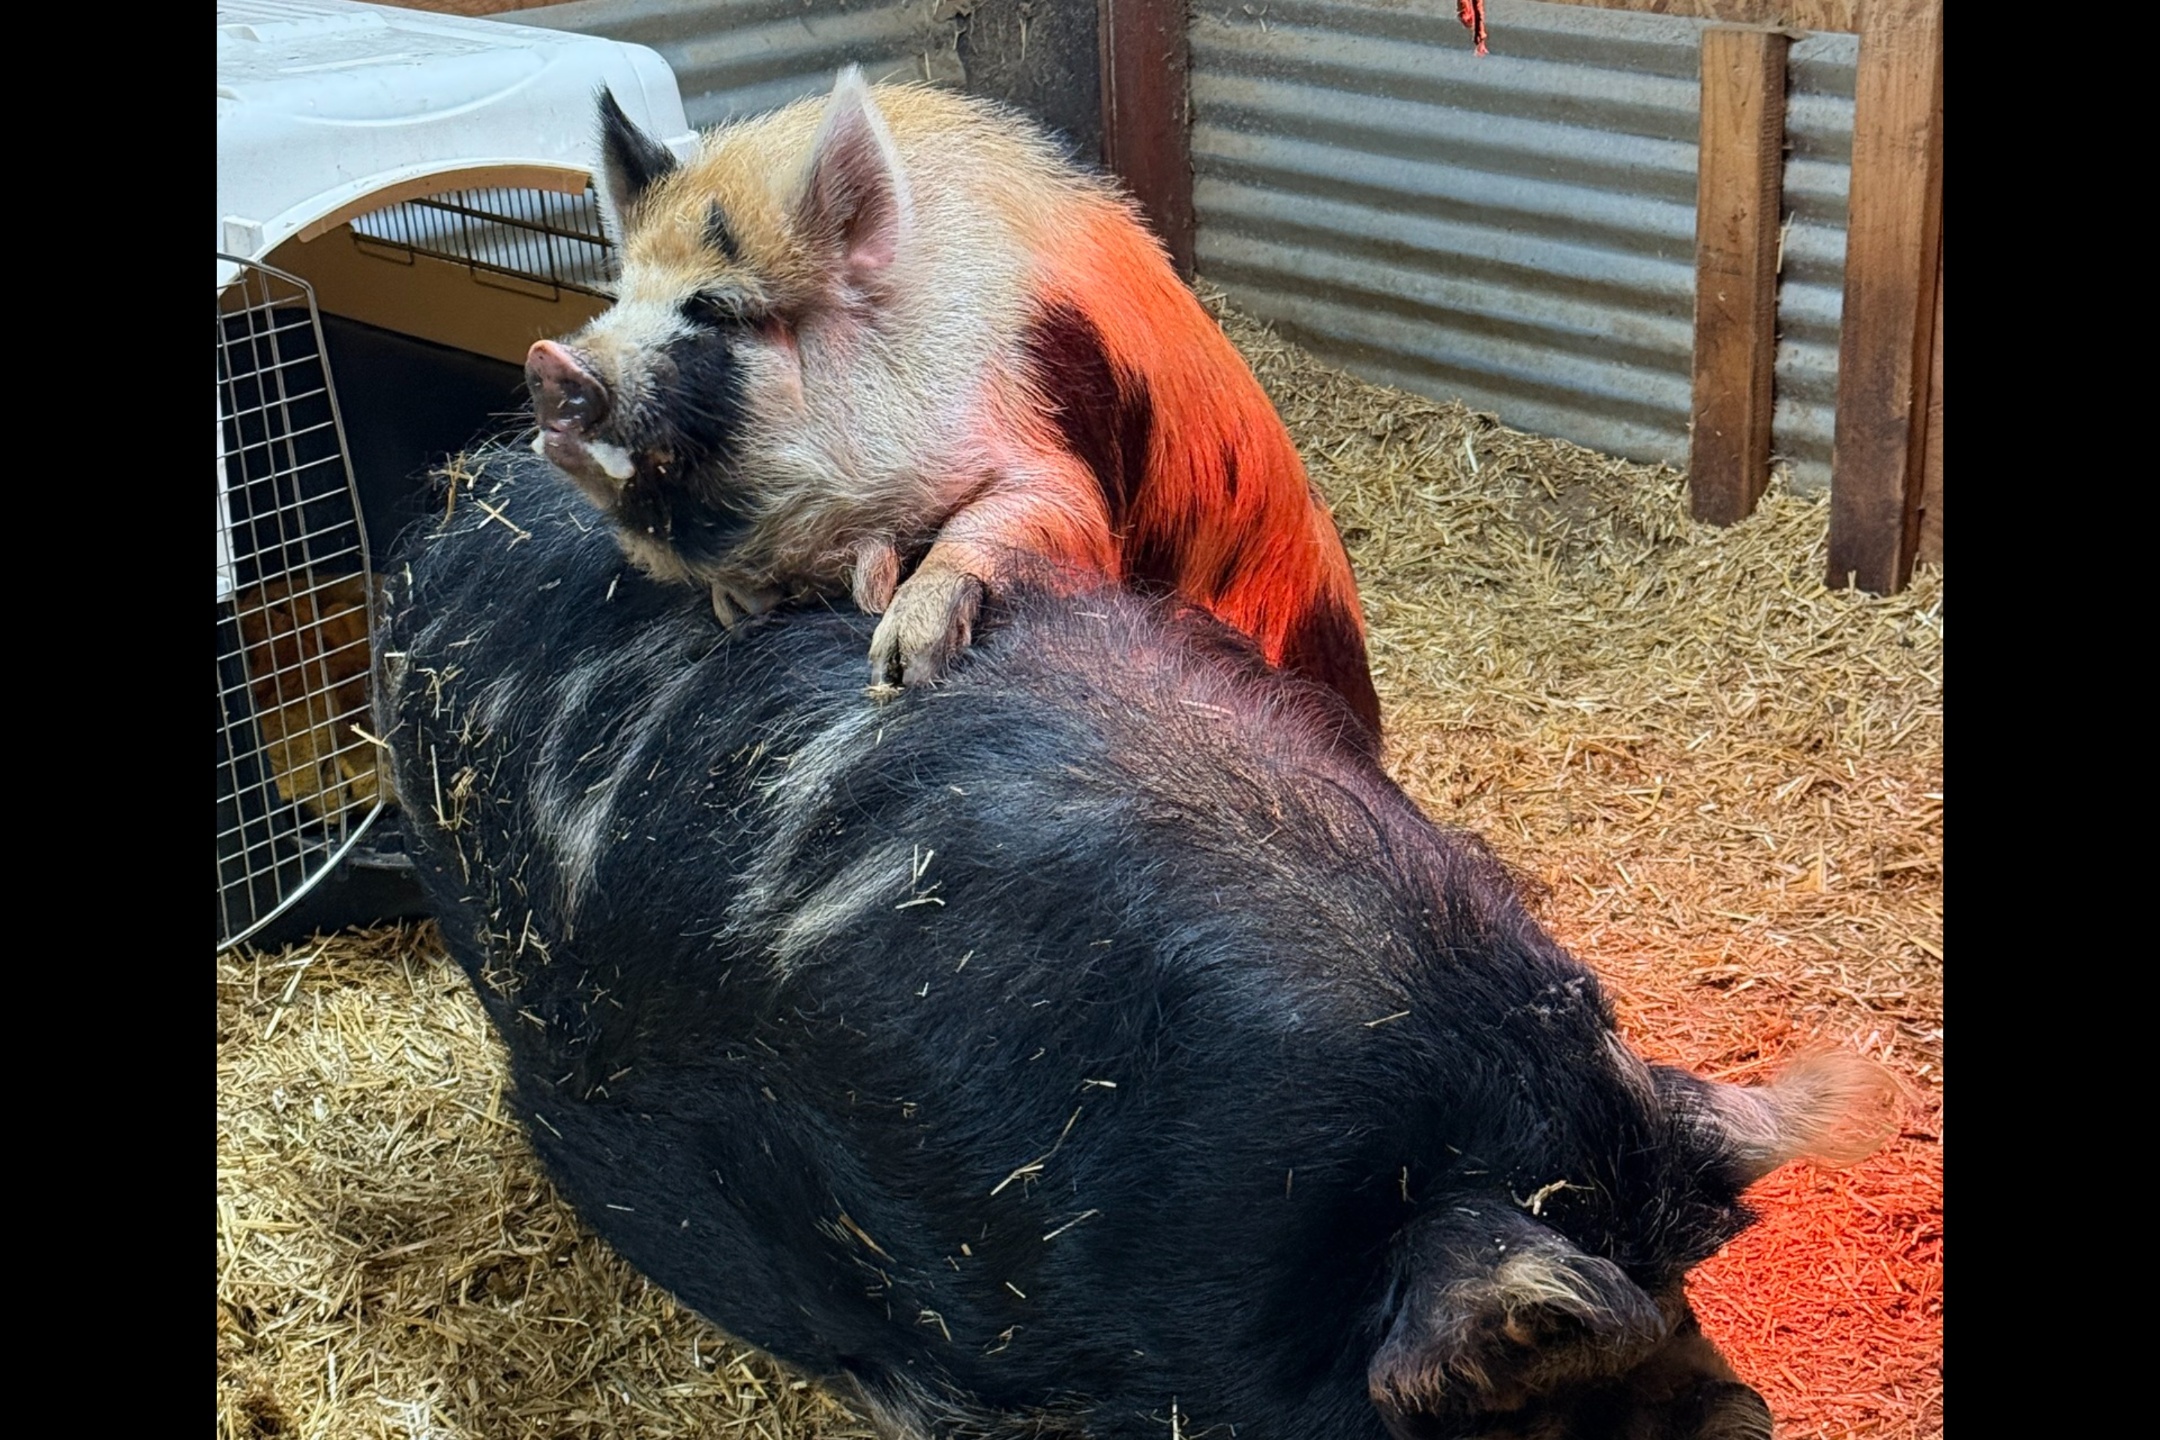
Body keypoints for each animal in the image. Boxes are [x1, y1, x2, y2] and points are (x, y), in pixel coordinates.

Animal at [523, 68, 1381, 744]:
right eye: (620, 299)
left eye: (718, 310)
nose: (548, 362)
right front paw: (744, 609)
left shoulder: (1050, 447)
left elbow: (1023, 516)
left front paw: (902, 669)